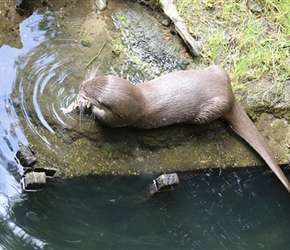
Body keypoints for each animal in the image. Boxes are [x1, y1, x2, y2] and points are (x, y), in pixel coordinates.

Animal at [75, 65, 290, 192]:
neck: (140, 98)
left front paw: (87, 107)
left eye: (89, 92)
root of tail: (229, 94)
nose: (80, 85)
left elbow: (104, 120)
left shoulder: (121, 118)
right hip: (218, 70)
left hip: (210, 110)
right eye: (90, 82)